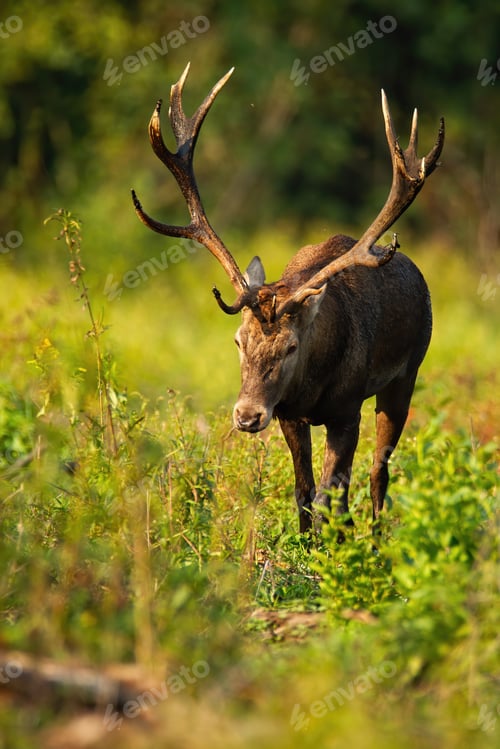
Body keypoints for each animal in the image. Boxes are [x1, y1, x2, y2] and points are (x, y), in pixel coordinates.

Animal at [131, 64, 444, 537]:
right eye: (238, 341)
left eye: (291, 345)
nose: (246, 416)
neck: (312, 383)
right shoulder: (288, 415)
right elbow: (303, 494)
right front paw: (307, 545)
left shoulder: (346, 410)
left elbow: (331, 496)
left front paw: (336, 550)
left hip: (408, 372)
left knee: (379, 472)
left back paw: (374, 541)